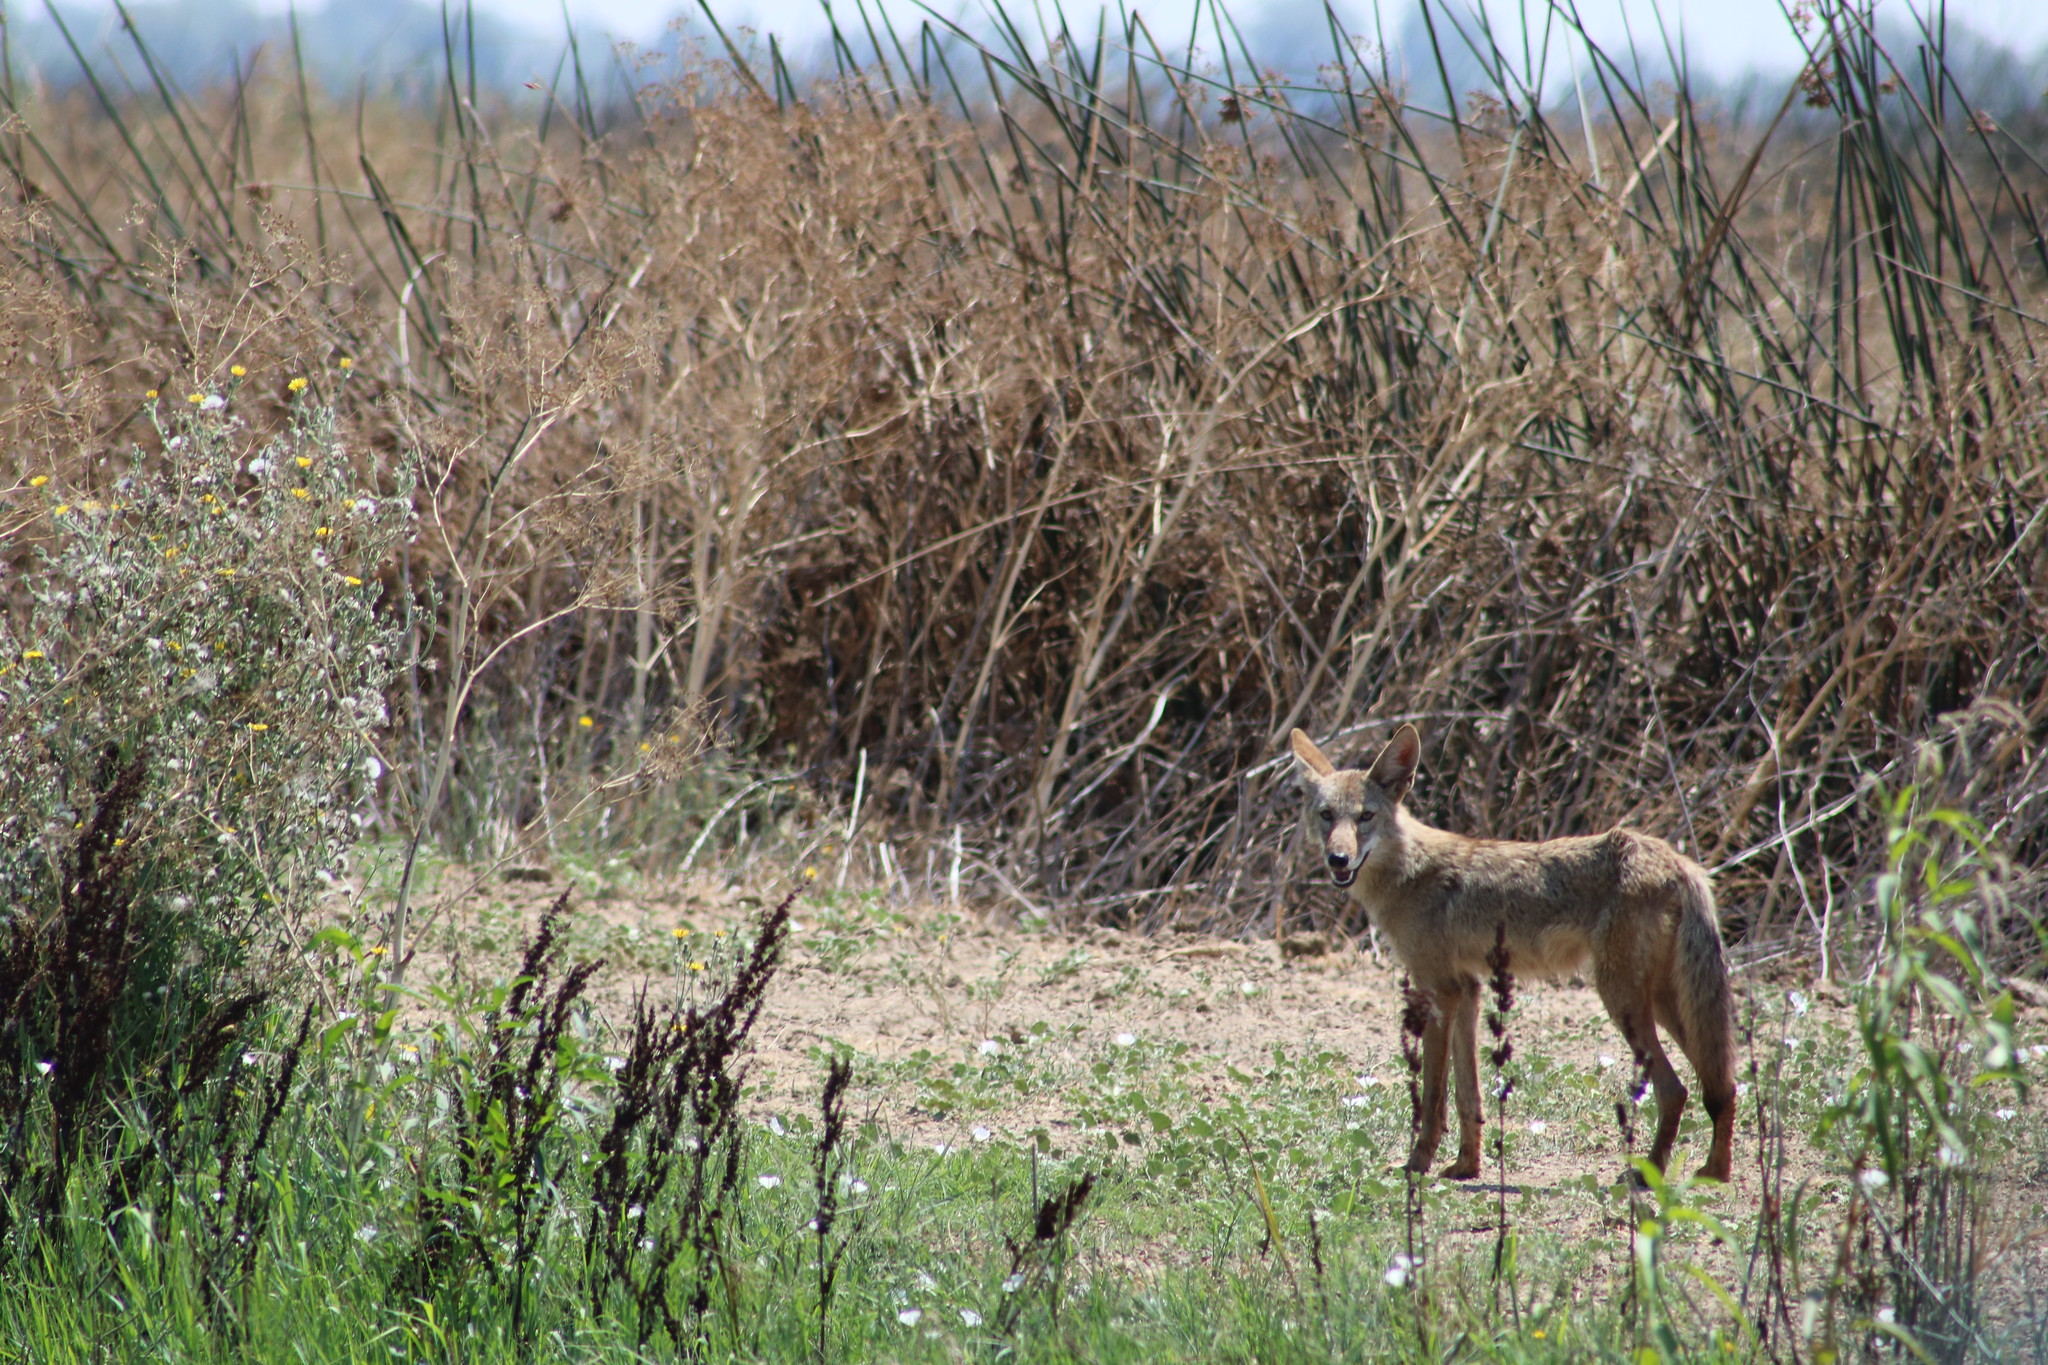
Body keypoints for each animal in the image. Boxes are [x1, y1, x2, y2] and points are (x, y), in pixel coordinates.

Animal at [1289, 724, 1734, 1183]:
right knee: (1723, 1085)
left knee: (1677, 1089)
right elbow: (1468, 1096)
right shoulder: (1467, 990)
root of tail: (1680, 862)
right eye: (1327, 815)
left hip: (1623, 1002)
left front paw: (1417, 1164)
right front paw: (1466, 1166)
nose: (1338, 859)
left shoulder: (1439, 991)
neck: (1407, 875)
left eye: (1365, 817)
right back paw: (1715, 1172)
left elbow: (1433, 1097)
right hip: (1666, 1006)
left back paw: (1649, 1174)